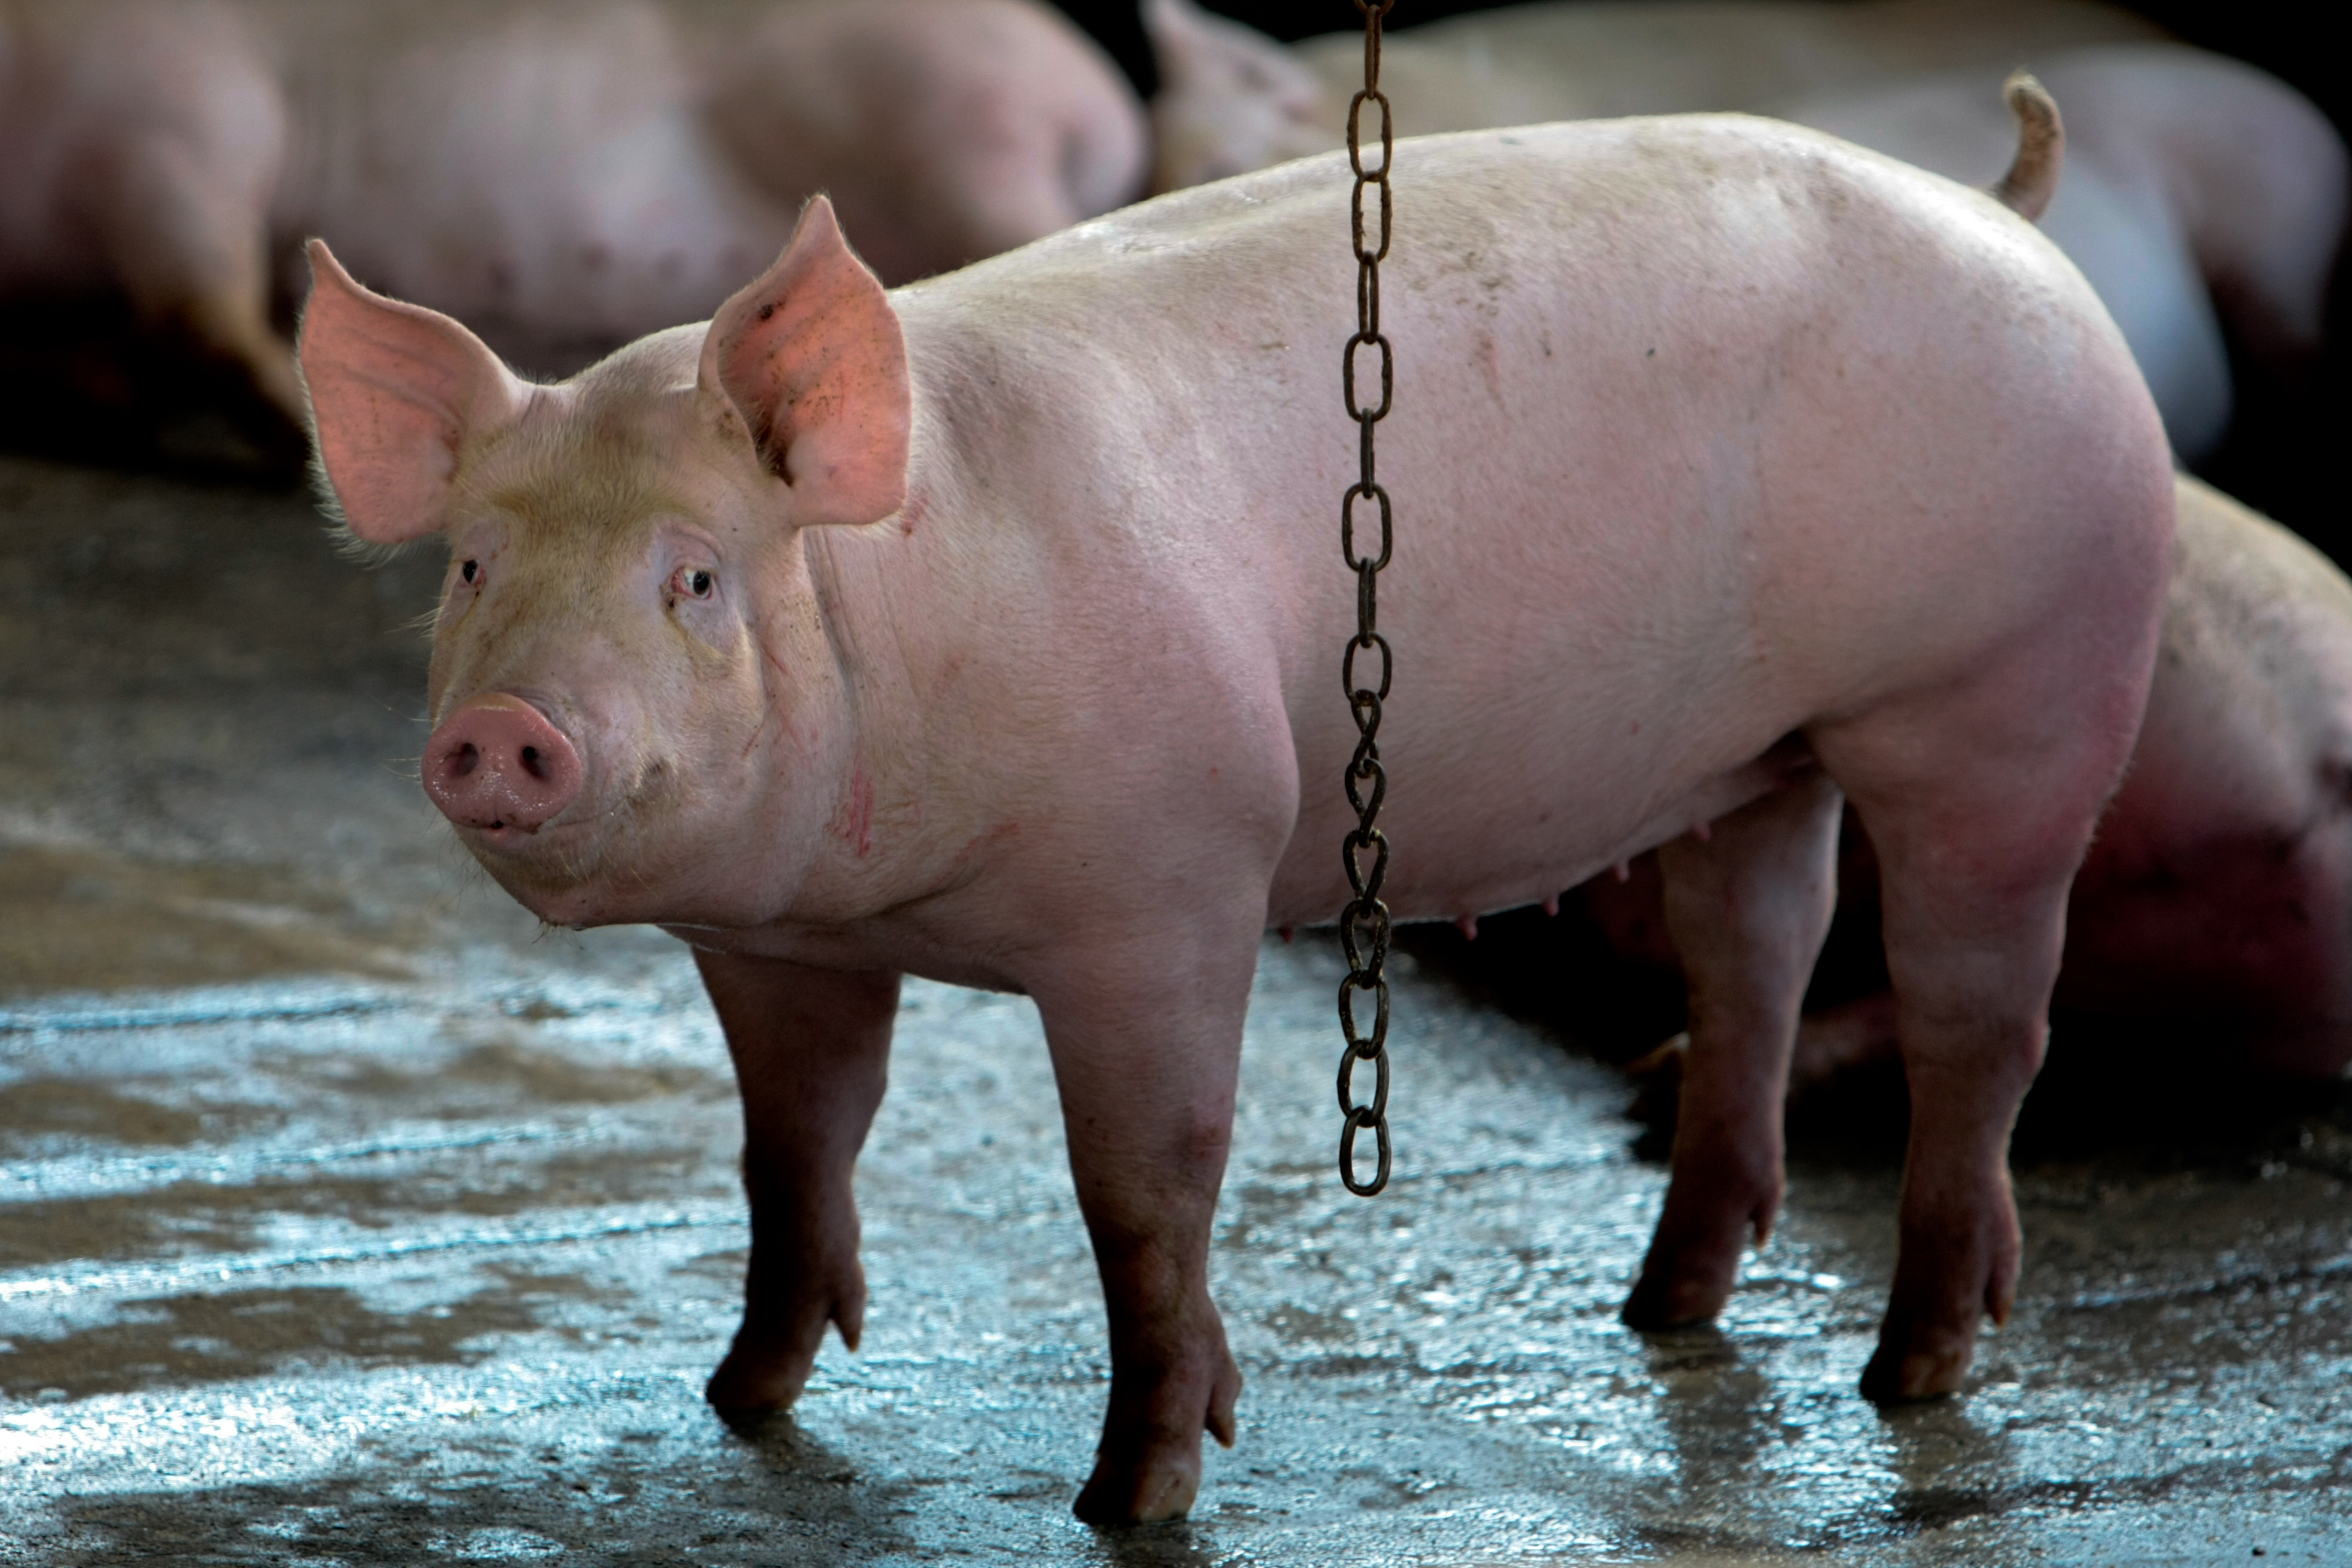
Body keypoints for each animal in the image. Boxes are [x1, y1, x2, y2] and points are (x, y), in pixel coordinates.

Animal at [303, 107, 2173, 1523]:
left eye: (693, 577)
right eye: (472, 568)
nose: (502, 731)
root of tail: (2007, 215)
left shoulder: (1167, 883)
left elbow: (1145, 1191)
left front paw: (1130, 1494)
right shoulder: (773, 941)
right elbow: (791, 1147)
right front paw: (740, 1400)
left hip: (2011, 692)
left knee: (1979, 1020)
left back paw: (1909, 1370)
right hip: (1758, 759)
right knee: (1756, 968)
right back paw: (1660, 1306)